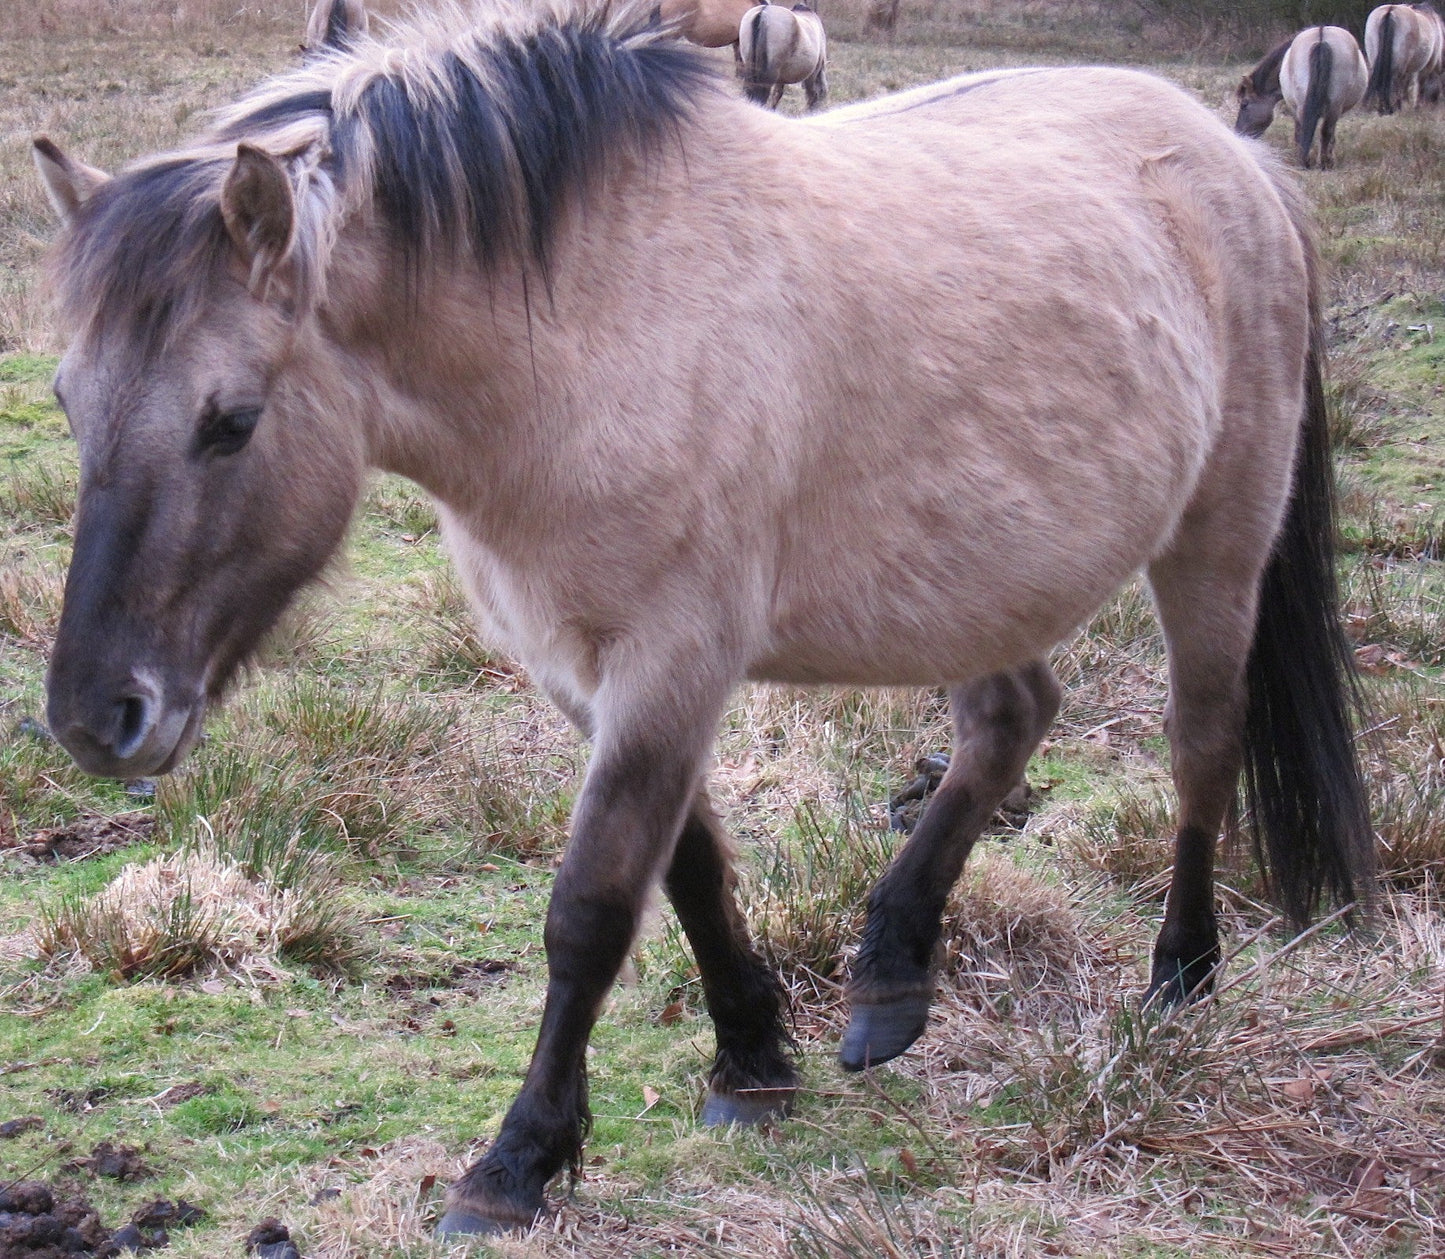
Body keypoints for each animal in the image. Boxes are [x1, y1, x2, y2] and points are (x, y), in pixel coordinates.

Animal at [1236, 26, 1369, 168]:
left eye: (1244, 104)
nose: (1238, 134)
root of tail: (1321, 37)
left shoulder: (1293, 108)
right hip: (1333, 106)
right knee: (1325, 131)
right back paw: (1322, 162)